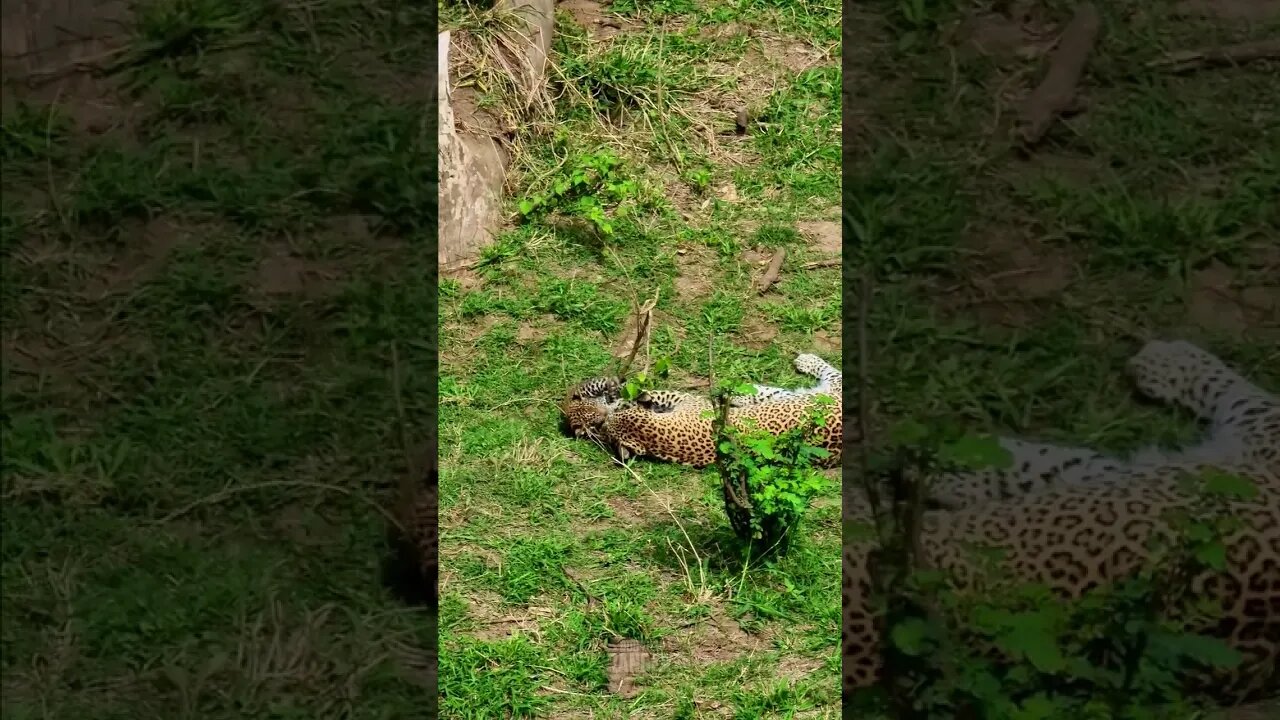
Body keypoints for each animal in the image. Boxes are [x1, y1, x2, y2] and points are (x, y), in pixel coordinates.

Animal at [563, 351, 844, 466]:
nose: (602, 423)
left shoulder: (689, 402)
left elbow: (657, 393)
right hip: (795, 396)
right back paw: (738, 392)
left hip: (832, 388)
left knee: (832, 371)